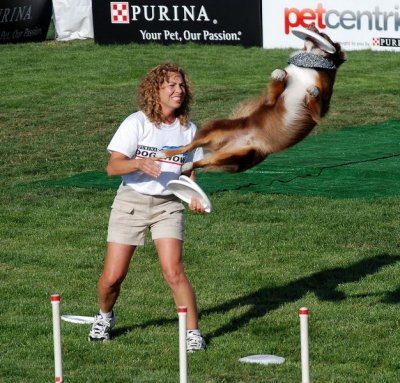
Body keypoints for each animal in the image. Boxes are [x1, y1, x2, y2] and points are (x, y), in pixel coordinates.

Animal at [158, 24, 346, 173]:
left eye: (324, 34)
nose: (312, 25)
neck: (309, 64)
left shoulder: (319, 112)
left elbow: (316, 94)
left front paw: (312, 90)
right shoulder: (271, 100)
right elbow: (280, 78)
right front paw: (278, 74)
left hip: (237, 156)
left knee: (203, 161)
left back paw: (186, 166)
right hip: (216, 130)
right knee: (189, 145)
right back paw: (164, 153)